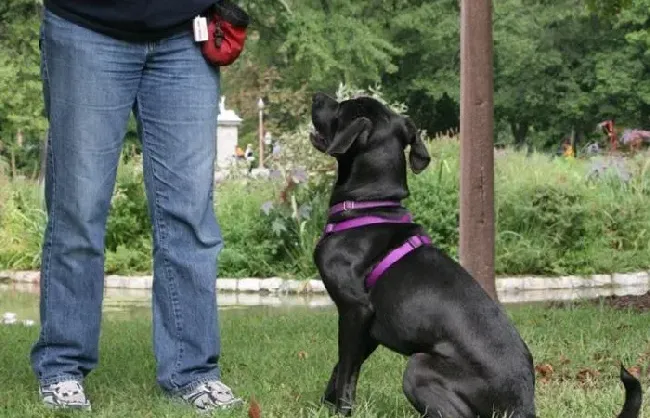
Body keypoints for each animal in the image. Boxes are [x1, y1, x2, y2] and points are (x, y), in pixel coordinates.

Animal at [306, 92, 640, 418]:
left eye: (342, 106)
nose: (317, 95)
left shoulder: (355, 310)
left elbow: (346, 372)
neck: (370, 205)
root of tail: (523, 407)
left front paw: (339, 412)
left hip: (419, 368)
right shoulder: (368, 330)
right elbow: (340, 370)